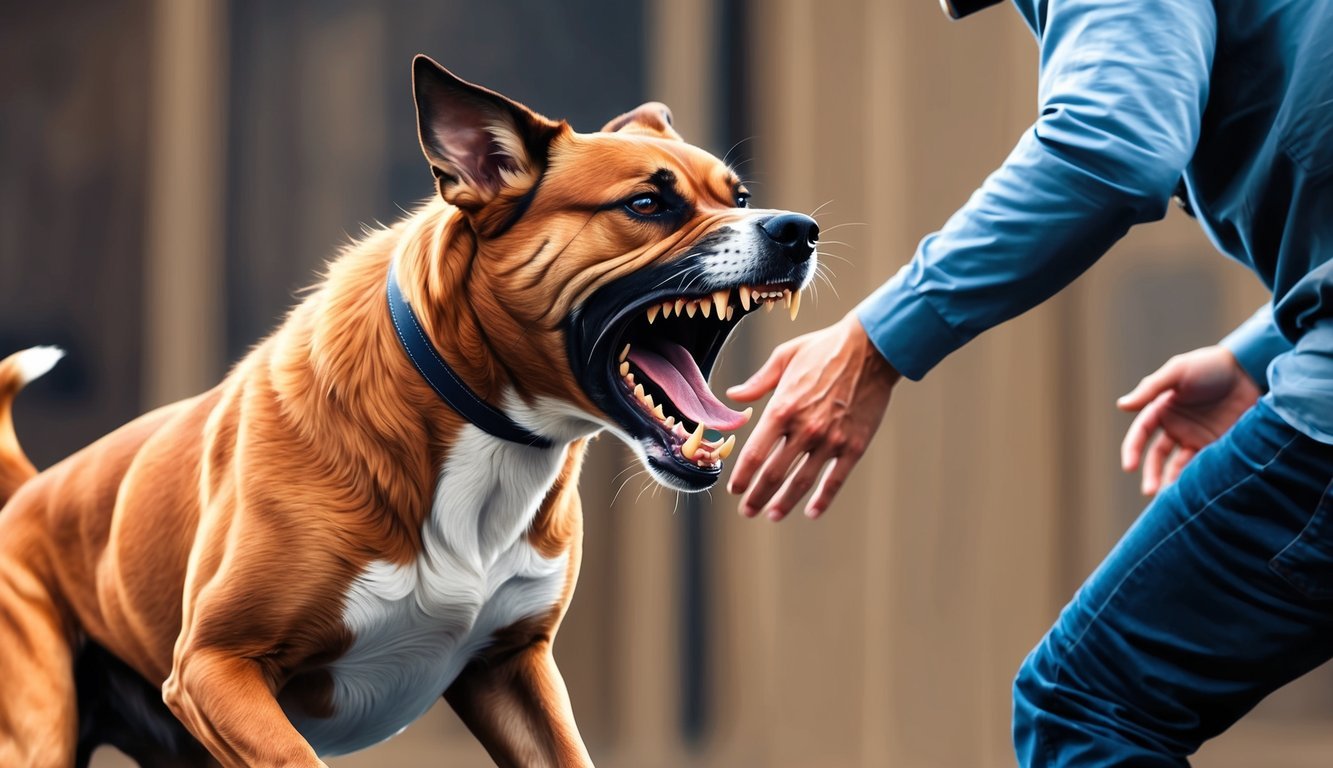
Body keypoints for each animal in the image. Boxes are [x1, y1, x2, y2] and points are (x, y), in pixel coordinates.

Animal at [0, 58, 815, 768]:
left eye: (739, 198)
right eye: (647, 204)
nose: (797, 229)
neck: (484, 429)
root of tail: (32, 492)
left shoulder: (512, 672)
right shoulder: (213, 667)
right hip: (40, 728)